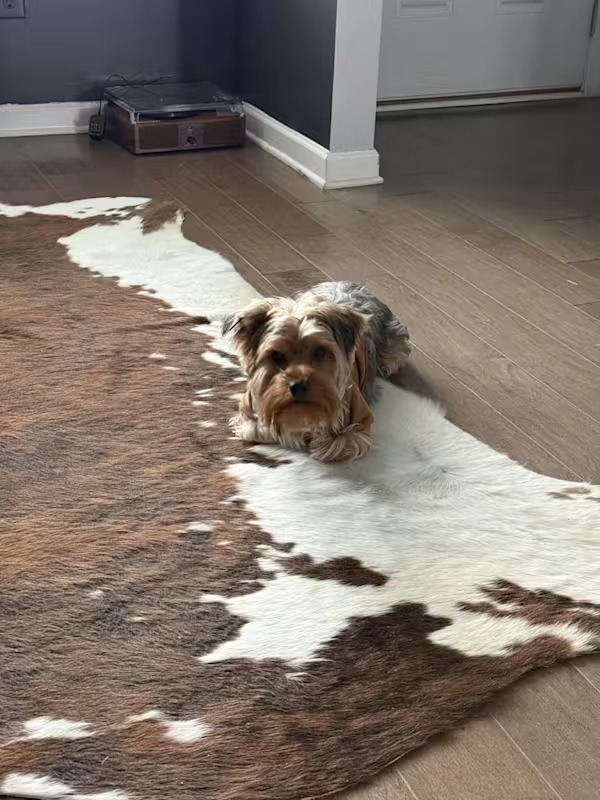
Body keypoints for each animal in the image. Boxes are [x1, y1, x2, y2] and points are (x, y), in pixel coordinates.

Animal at [222, 281, 411, 462]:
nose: (298, 386)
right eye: (276, 356)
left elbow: (340, 443)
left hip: (394, 344)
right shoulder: (250, 415)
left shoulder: (354, 420)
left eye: (320, 352)